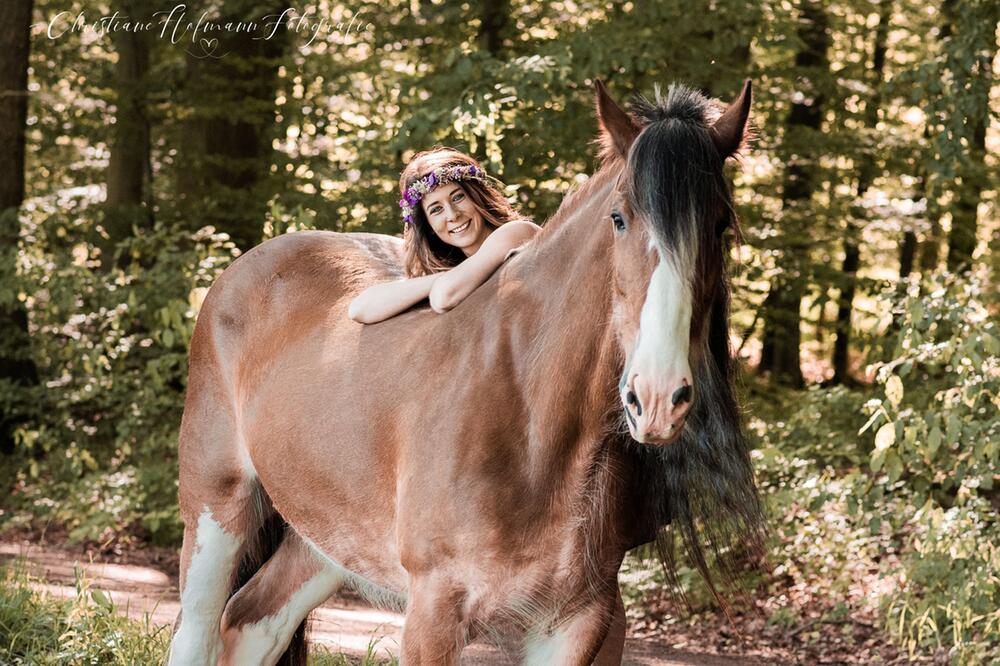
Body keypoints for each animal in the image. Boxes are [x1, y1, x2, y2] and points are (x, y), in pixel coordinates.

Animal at [166, 80, 764, 660]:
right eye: (619, 218)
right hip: (216, 509)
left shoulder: (578, 619)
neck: (534, 421)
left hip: (326, 540)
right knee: (198, 630)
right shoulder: (434, 609)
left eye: (719, 225)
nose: (658, 397)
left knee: (251, 624)